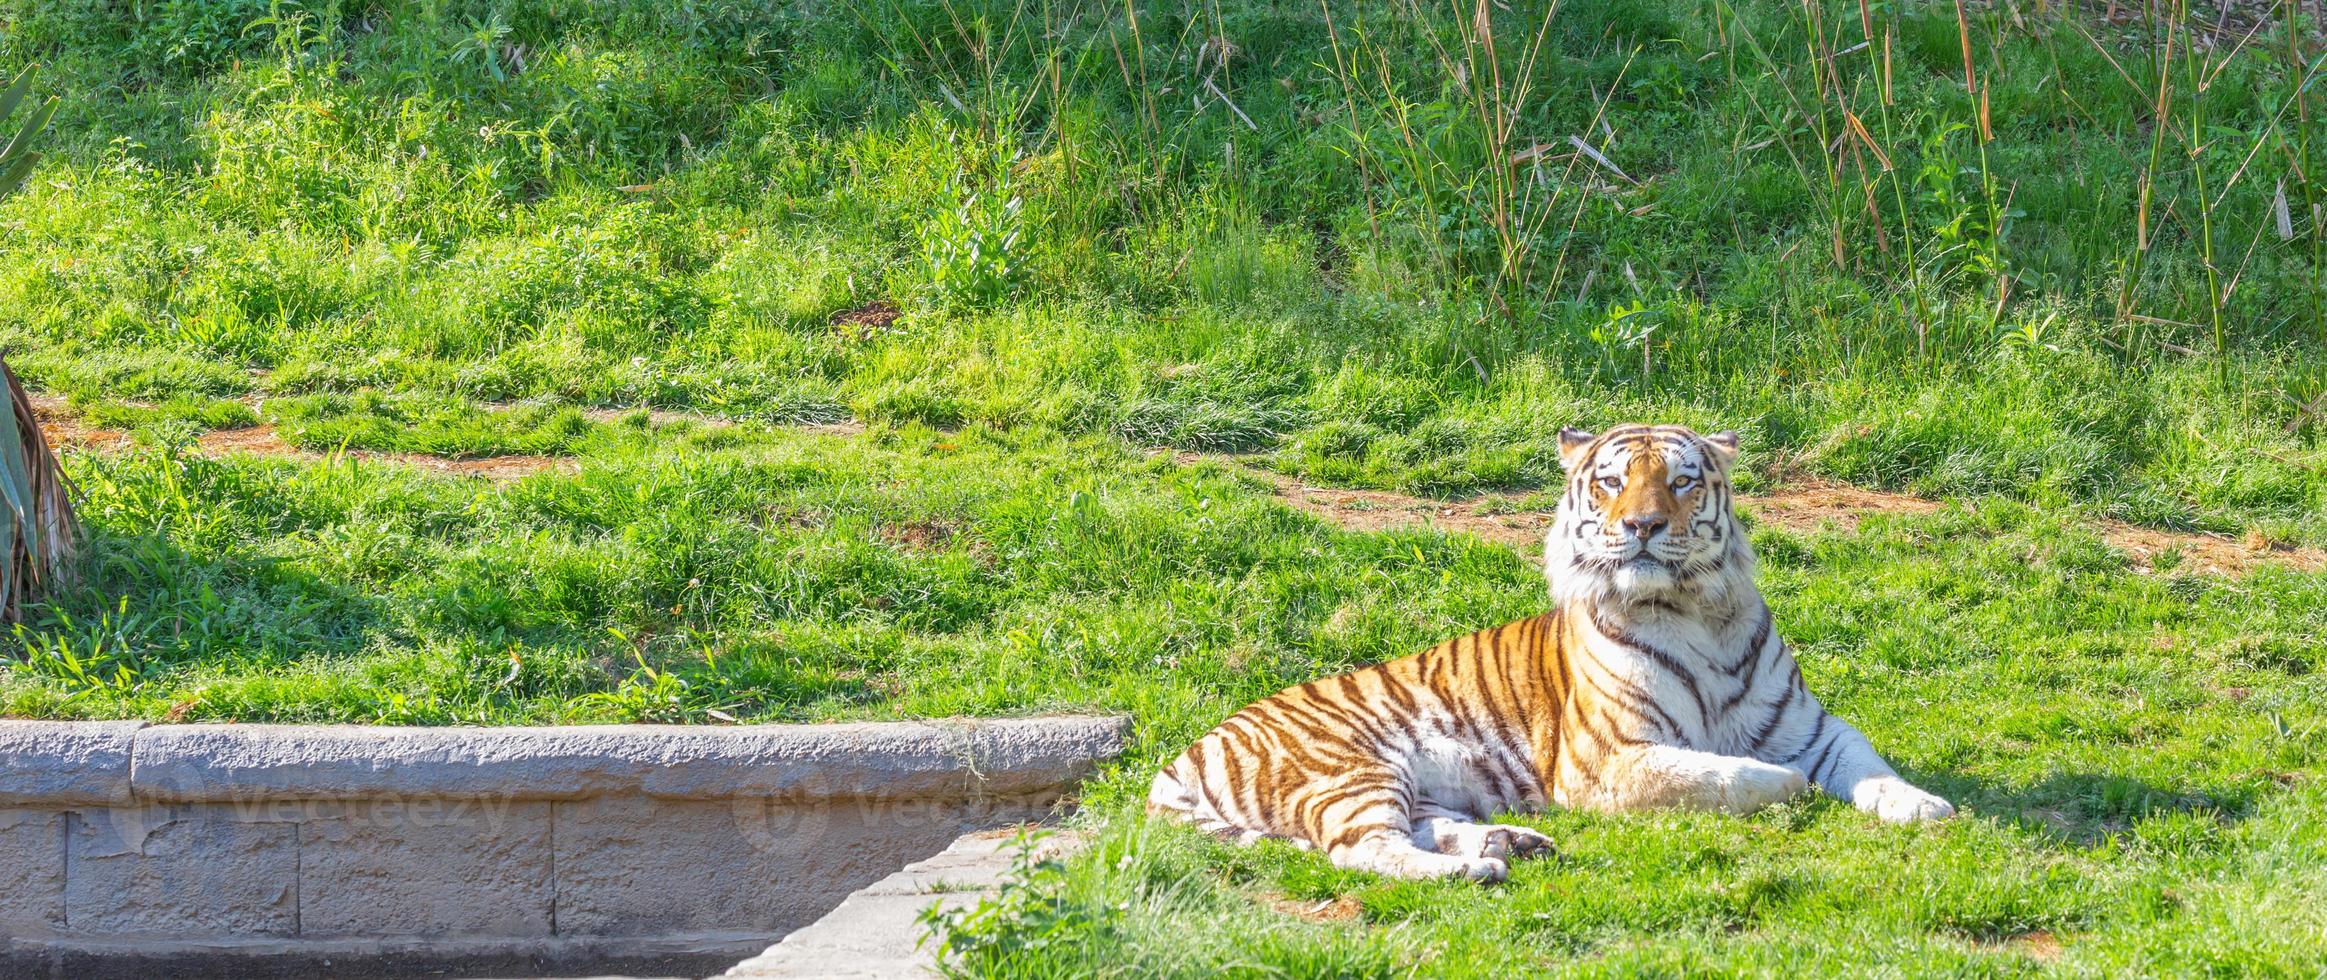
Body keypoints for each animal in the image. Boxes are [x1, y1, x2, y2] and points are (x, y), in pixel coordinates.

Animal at [1154, 419, 1954, 879]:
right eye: (1610, 481)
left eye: (1681, 481)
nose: (1640, 526)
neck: (1695, 612)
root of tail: (1186, 751)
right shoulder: (1610, 757)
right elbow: (1715, 776)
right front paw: (1786, 787)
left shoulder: (1812, 728)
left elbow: (1870, 767)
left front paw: (1927, 808)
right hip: (1347, 770)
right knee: (1360, 849)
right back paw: (1472, 872)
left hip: (1408, 785)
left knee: (1421, 827)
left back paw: (1508, 845)